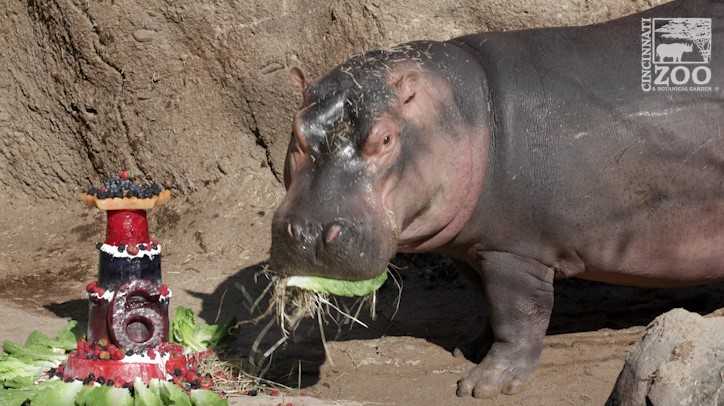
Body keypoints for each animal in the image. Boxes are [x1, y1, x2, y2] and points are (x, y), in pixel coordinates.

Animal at [270, 0, 724, 398]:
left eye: (385, 138)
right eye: (295, 130)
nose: (308, 233)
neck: (466, 109)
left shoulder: (515, 252)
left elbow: (517, 316)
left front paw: (483, 385)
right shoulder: (472, 247)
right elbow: (485, 300)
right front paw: (467, 348)